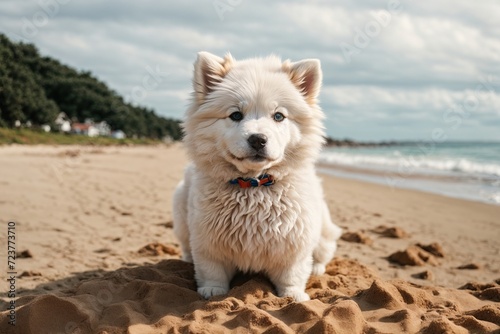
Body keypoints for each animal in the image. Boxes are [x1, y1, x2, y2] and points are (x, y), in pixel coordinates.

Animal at [174, 52, 342, 302]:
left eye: (279, 116)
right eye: (235, 115)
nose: (257, 139)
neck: (254, 185)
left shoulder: (295, 241)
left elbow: (292, 273)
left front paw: (293, 295)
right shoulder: (207, 240)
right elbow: (211, 269)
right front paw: (212, 290)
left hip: (322, 228)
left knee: (324, 251)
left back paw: (316, 267)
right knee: (186, 247)